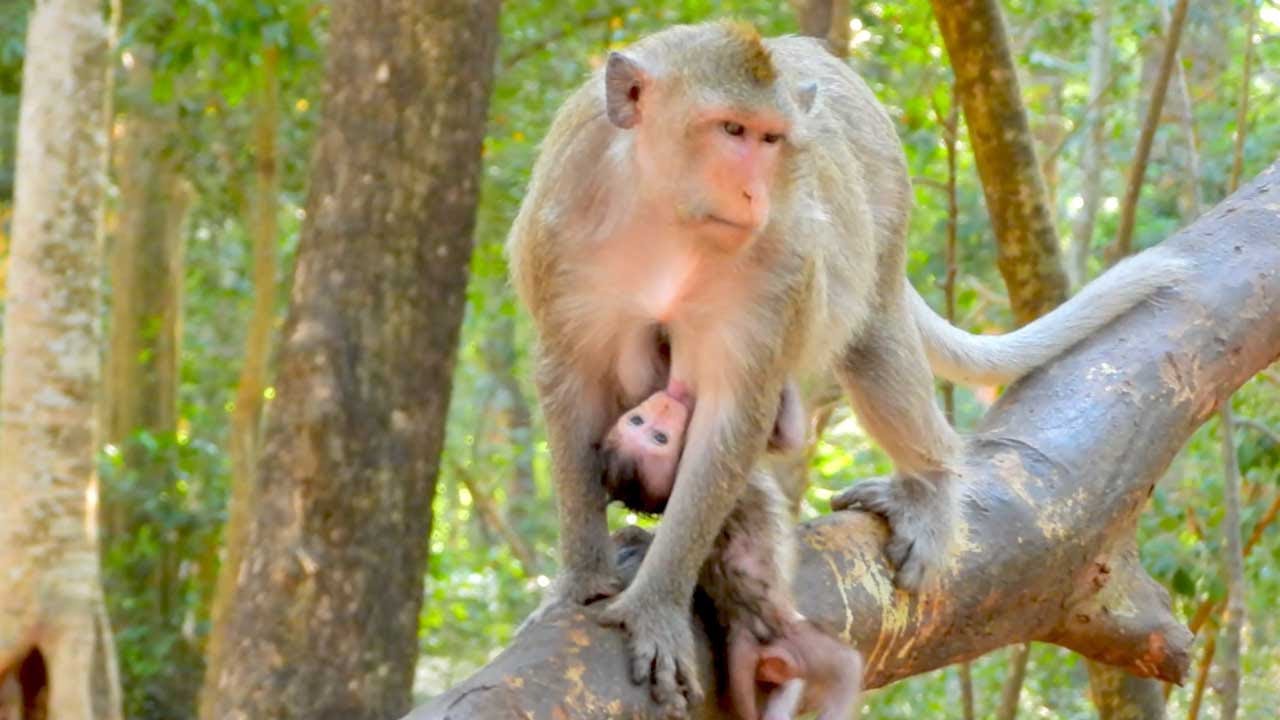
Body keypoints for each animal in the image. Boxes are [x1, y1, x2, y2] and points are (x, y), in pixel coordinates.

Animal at [508, 20, 1184, 715]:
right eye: (731, 130)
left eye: (770, 139)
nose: (754, 193)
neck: (667, 217)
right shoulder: (559, 236)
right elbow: (573, 378)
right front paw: (581, 579)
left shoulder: (777, 266)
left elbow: (732, 410)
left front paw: (655, 603)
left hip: (880, 203)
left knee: (875, 341)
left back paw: (931, 486)